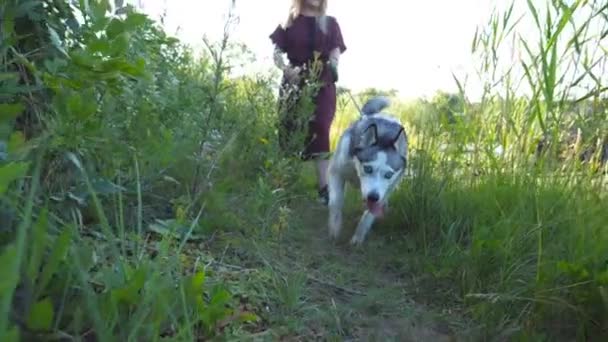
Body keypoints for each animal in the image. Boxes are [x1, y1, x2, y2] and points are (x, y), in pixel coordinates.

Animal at [328, 96, 408, 244]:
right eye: (368, 168)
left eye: (389, 175)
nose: (373, 196)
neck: (384, 136)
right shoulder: (337, 171)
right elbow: (336, 202)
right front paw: (335, 228)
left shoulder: (386, 190)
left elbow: (368, 215)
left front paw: (358, 237)